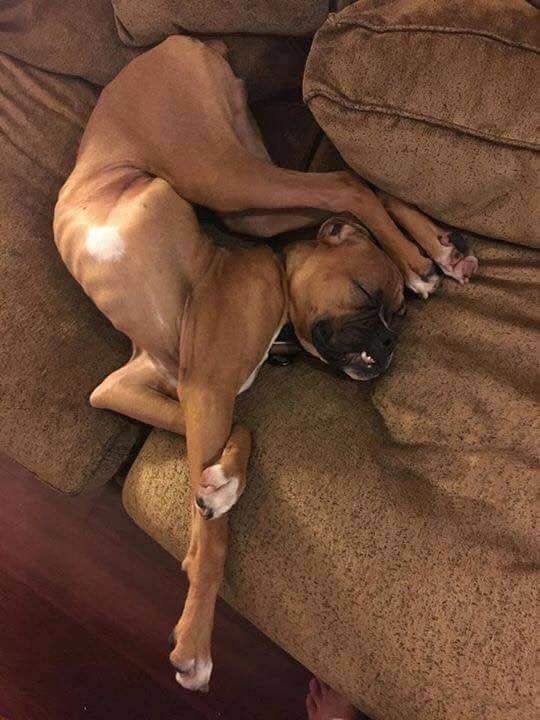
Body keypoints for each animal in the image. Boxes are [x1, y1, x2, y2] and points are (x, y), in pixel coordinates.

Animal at [53, 35, 476, 692]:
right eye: (367, 296)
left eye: (397, 318)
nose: (388, 344)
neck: (272, 275)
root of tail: (178, 41)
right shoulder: (158, 388)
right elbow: (235, 458)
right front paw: (214, 514)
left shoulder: (194, 389)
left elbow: (219, 499)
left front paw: (194, 627)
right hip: (232, 189)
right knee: (347, 184)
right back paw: (429, 255)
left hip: (227, 183)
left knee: (344, 183)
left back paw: (426, 258)